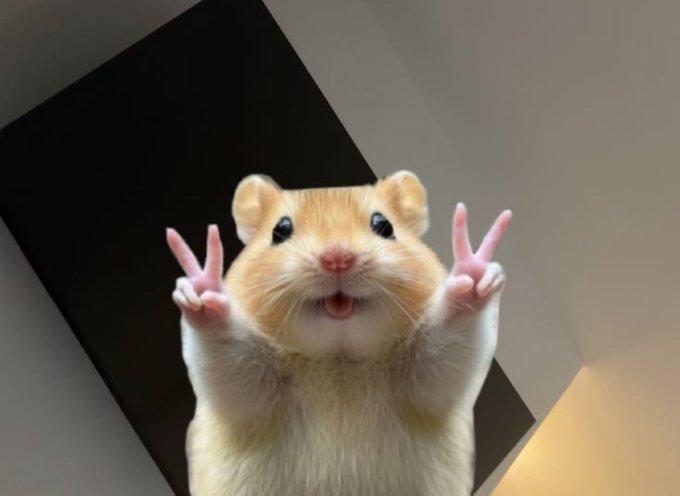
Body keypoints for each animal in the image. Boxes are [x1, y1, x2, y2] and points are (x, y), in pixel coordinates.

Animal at [166, 171, 511, 496]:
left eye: (384, 225)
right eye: (280, 230)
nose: (337, 259)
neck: (338, 358)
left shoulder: (425, 381)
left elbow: (447, 338)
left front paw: (473, 274)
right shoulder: (247, 390)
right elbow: (227, 351)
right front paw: (199, 288)